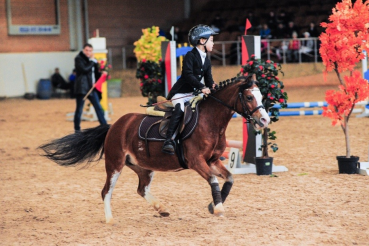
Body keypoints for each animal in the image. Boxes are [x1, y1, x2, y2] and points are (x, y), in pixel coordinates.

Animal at [39, 75, 268, 223]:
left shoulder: (212, 161)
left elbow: (229, 178)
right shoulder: (196, 161)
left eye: (262, 97)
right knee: (106, 191)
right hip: (114, 164)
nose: (264, 120)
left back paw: (161, 209)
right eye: (249, 97)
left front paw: (213, 205)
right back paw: (110, 219)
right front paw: (218, 208)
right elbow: (213, 180)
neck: (210, 121)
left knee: (142, 189)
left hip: (144, 167)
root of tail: (114, 126)